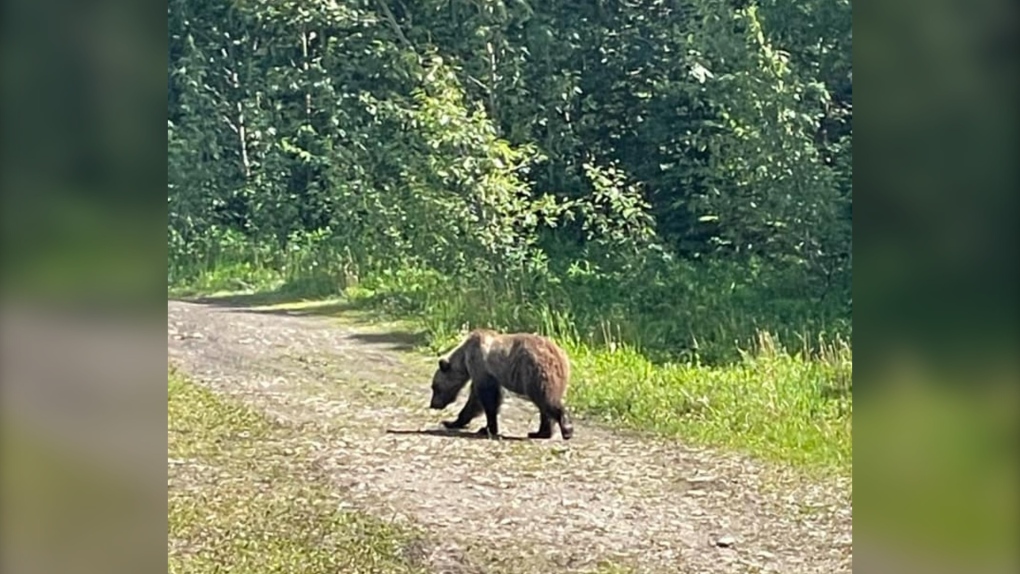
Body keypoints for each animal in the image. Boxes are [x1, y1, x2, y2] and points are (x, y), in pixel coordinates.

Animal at [426, 328, 575, 440]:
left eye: (435, 387)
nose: (433, 404)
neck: (464, 358)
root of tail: (560, 357)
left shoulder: (480, 366)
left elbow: (484, 398)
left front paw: (484, 428)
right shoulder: (488, 374)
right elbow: (483, 399)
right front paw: (454, 422)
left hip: (536, 373)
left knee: (546, 399)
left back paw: (566, 428)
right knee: (544, 406)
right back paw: (540, 433)